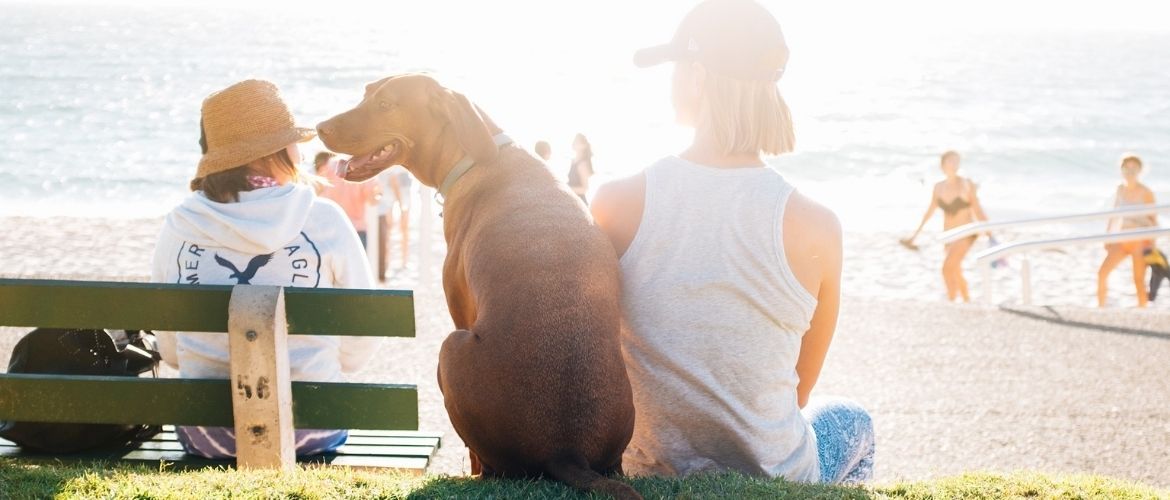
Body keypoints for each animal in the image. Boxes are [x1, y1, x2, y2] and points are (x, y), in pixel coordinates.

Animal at [318, 75, 641, 500]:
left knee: (487, 465)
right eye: (366, 94)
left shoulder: (459, 309)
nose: (319, 128)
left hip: (450, 348)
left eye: (386, 104)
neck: (477, 154)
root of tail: (566, 451)